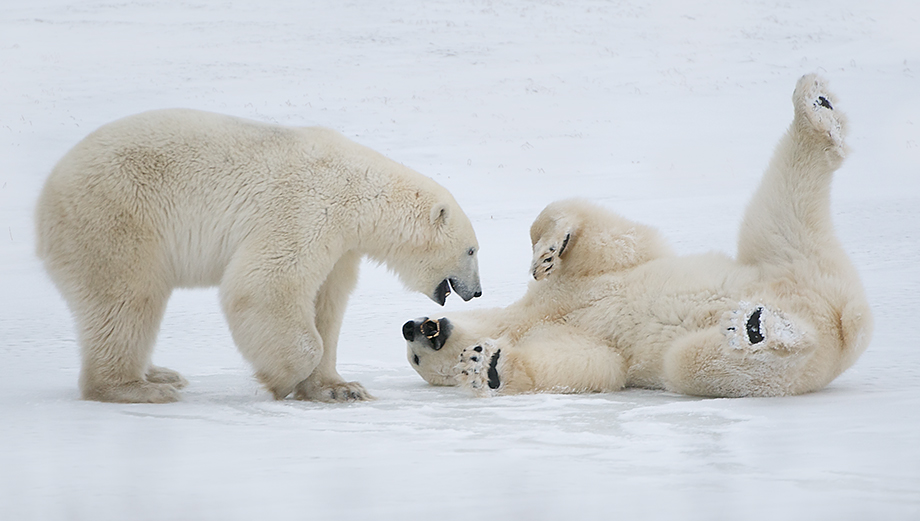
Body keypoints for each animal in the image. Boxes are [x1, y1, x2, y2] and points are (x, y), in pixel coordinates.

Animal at [36, 108, 482, 402]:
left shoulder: (341, 245)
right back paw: (136, 387)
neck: (360, 191)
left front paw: (340, 388)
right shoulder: (307, 208)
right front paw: (280, 379)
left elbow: (326, 304)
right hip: (117, 218)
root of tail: (47, 195)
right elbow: (266, 286)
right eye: (472, 249)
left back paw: (161, 375)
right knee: (128, 298)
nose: (477, 291)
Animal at [406, 73, 872, 396]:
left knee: (781, 202)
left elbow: (616, 242)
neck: (525, 319)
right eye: (416, 359)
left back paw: (815, 106)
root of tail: (843, 323)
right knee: (690, 364)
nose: (412, 327)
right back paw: (759, 329)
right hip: (799, 295)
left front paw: (549, 250)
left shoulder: (567, 287)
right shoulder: (574, 338)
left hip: (781, 259)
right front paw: (485, 366)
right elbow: (584, 365)